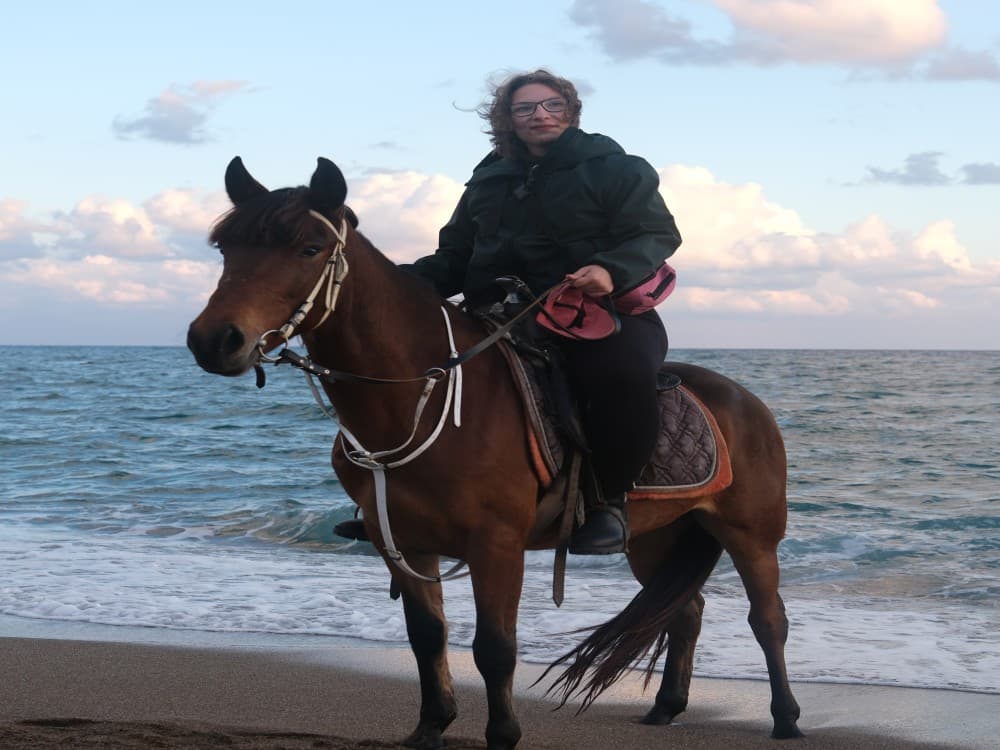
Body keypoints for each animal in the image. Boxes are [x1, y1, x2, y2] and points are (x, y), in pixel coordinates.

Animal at [187, 156, 802, 750]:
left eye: (309, 248)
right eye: (226, 248)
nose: (214, 340)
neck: (416, 395)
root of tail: (748, 401)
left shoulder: (497, 543)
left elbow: (495, 647)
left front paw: (503, 734)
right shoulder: (401, 541)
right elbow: (427, 637)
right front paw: (431, 727)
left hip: (751, 534)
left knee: (767, 619)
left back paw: (786, 716)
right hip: (657, 534)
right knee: (683, 612)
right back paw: (666, 707)